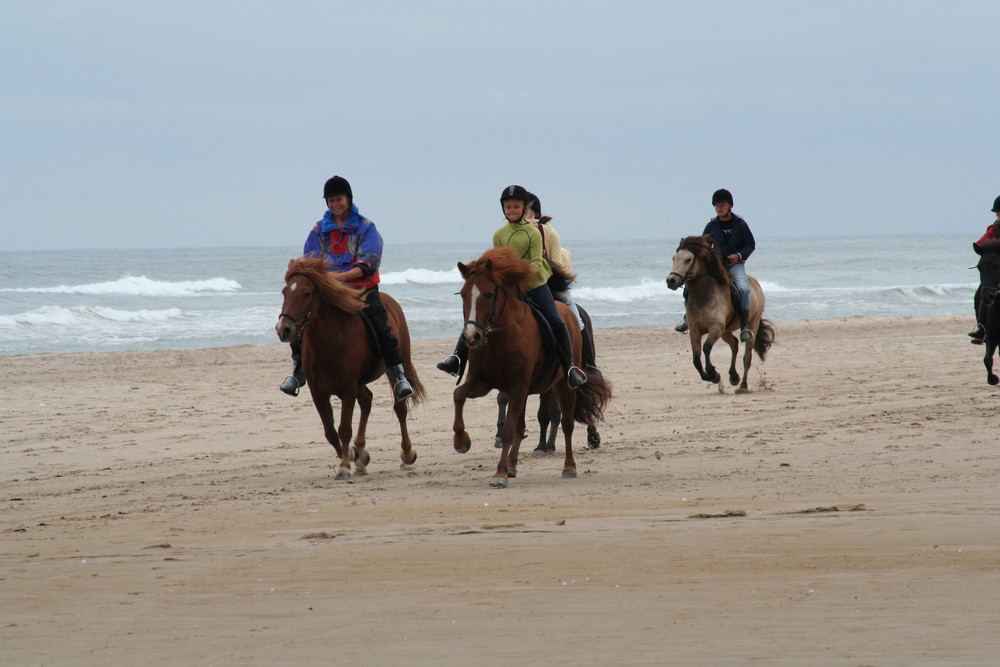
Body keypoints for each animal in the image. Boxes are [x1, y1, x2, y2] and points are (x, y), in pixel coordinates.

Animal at [276, 258, 424, 480]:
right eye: (285, 292)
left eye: (307, 293)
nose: (283, 329)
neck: (330, 340)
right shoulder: (318, 392)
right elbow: (330, 432)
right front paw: (354, 455)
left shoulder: (347, 388)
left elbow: (344, 428)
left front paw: (344, 466)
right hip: (358, 383)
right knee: (367, 400)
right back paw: (361, 453)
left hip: (399, 362)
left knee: (400, 407)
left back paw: (407, 453)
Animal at [452, 248, 608, 488]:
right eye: (463, 294)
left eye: (489, 294)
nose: (471, 337)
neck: (498, 338)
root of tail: (567, 311)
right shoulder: (483, 382)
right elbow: (458, 395)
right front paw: (461, 441)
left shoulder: (518, 385)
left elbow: (510, 430)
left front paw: (499, 474)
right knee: (523, 425)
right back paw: (513, 466)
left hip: (565, 384)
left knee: (567, 423)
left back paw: (569, 467)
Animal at [668, 235, 776, 392]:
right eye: (674, 258)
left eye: (688, 259)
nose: (671, 280)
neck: (704, 296)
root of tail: (755, 283)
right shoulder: (695, 331)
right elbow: (696, 359)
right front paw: (710, 376)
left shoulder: (716, 329)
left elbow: (706, 348)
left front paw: (713, 373)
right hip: (726, 331)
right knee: (734, 344)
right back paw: (734, 376)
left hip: (752, 325)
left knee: (747, 357)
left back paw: (743, 385)